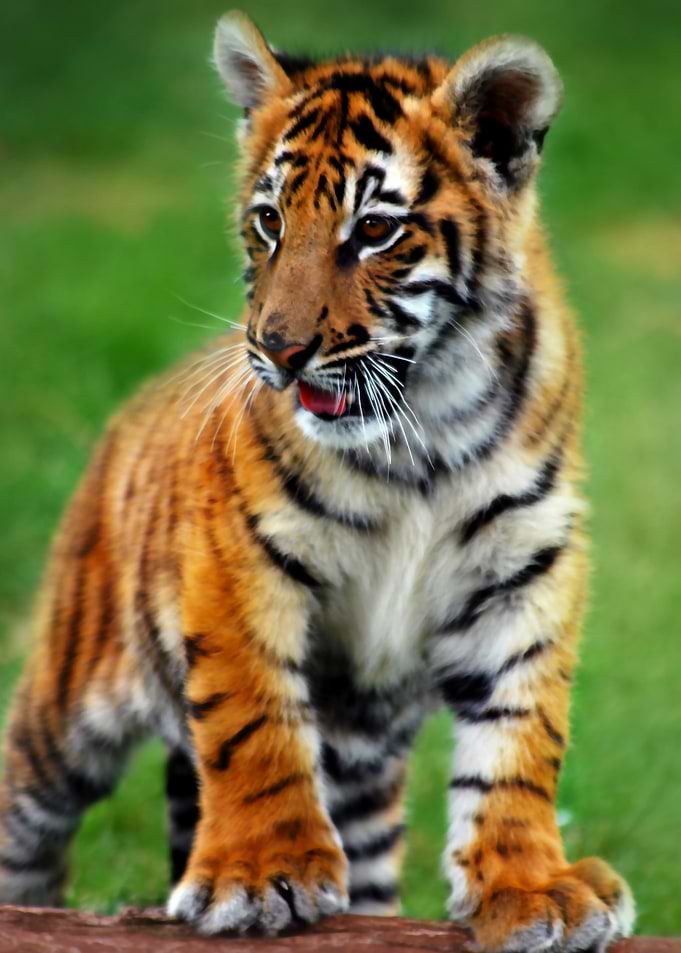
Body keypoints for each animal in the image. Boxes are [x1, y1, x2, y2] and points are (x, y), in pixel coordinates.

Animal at [0, 9, 635, 949]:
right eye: (268, 221)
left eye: (373, 231)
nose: (277, 347)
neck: (421, 433)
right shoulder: (237, 560)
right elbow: (253, 719)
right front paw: (263, 873)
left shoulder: (527, 567)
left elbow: (521, 743)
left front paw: (531, 884)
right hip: (65, 701)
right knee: (27, 816)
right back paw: (32, 908)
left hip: (365, 780)